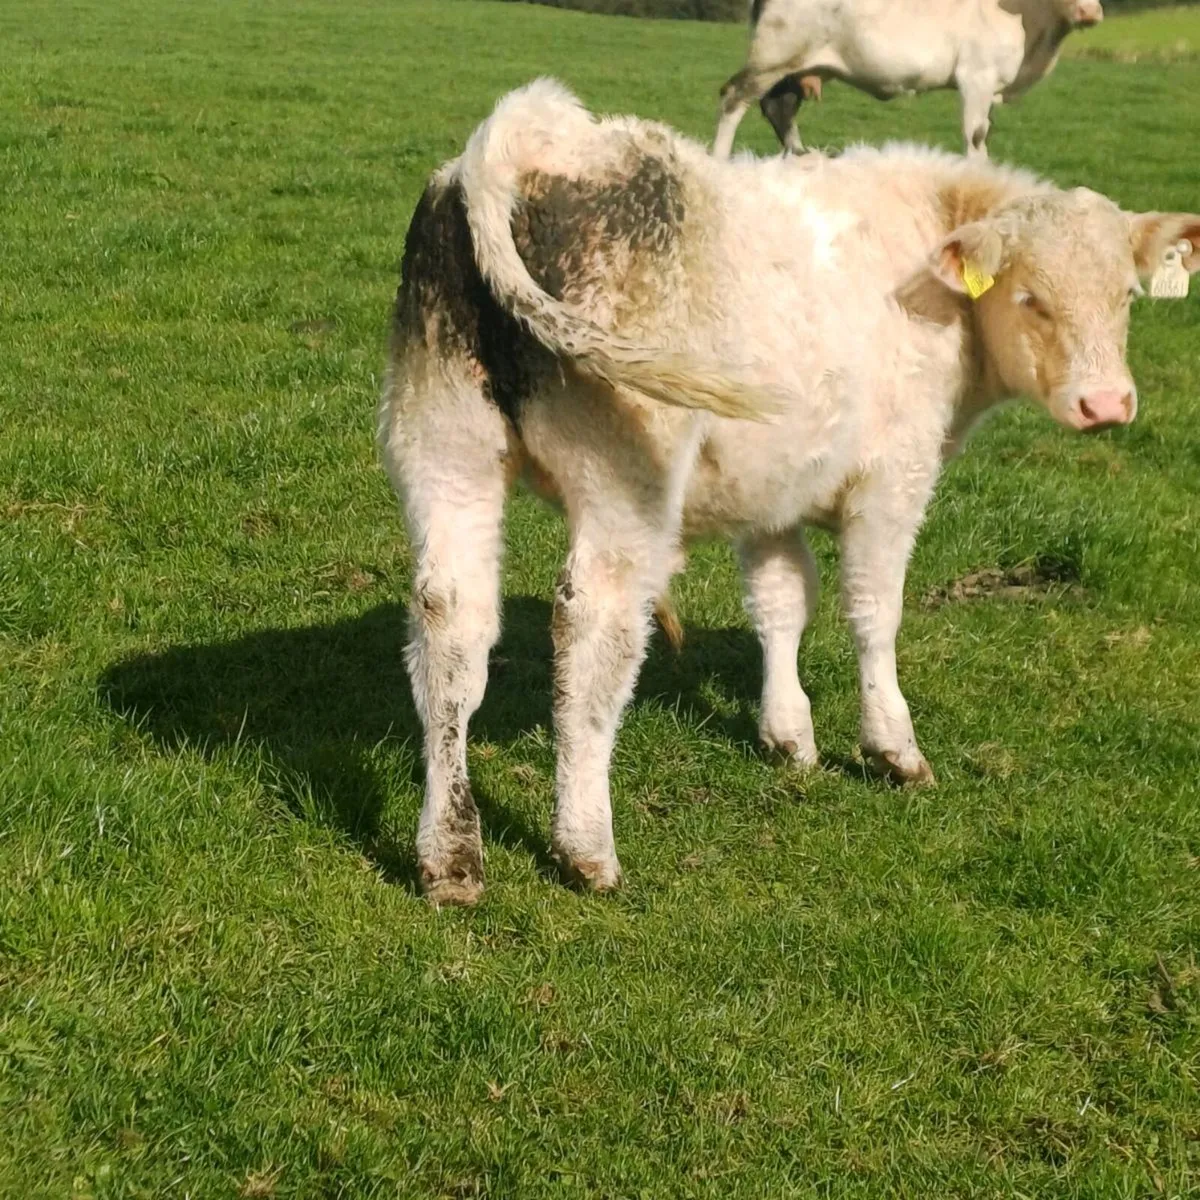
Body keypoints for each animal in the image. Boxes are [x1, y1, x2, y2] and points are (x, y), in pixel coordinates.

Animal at [379, 80, 1199, 905]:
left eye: (1126, 298)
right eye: (1030, 298)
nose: (1107, 405)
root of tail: (536, 136)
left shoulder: (769, 488)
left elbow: (782, 600)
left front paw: (788, 734)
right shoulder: (894, 478)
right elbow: (874, 609)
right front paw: (892, 748)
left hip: (444, 445)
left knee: (452, 621)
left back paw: (449, 856)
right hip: (621, 482)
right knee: (593, 627)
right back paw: (586, 847)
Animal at [714, 0, 1104, 160]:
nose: (1089, 11)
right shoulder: (976, 75)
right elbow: (976, 137)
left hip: (795, 66)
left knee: (779, 107)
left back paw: (800, 156)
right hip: (773, 56)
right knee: (734, 98)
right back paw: (719, 159)